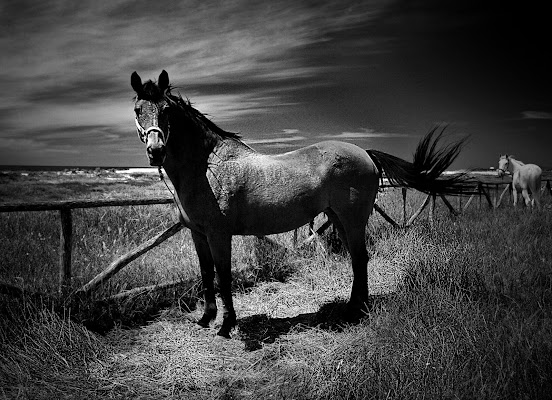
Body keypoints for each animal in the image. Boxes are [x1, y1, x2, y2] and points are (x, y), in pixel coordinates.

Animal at [130, 69, 466, 338]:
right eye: (137, 109)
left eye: (166, 110)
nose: (156, 151)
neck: (208, 167)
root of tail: (366, 154)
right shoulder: (198, 234)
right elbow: (205, 274)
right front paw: (205, 319)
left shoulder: (218, 234)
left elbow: (223, 277)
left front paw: (226, 326)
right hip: (339, 219)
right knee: (358, 260)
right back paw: (354, 309)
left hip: (353, 219)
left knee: (360, 259)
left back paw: (354, 313)